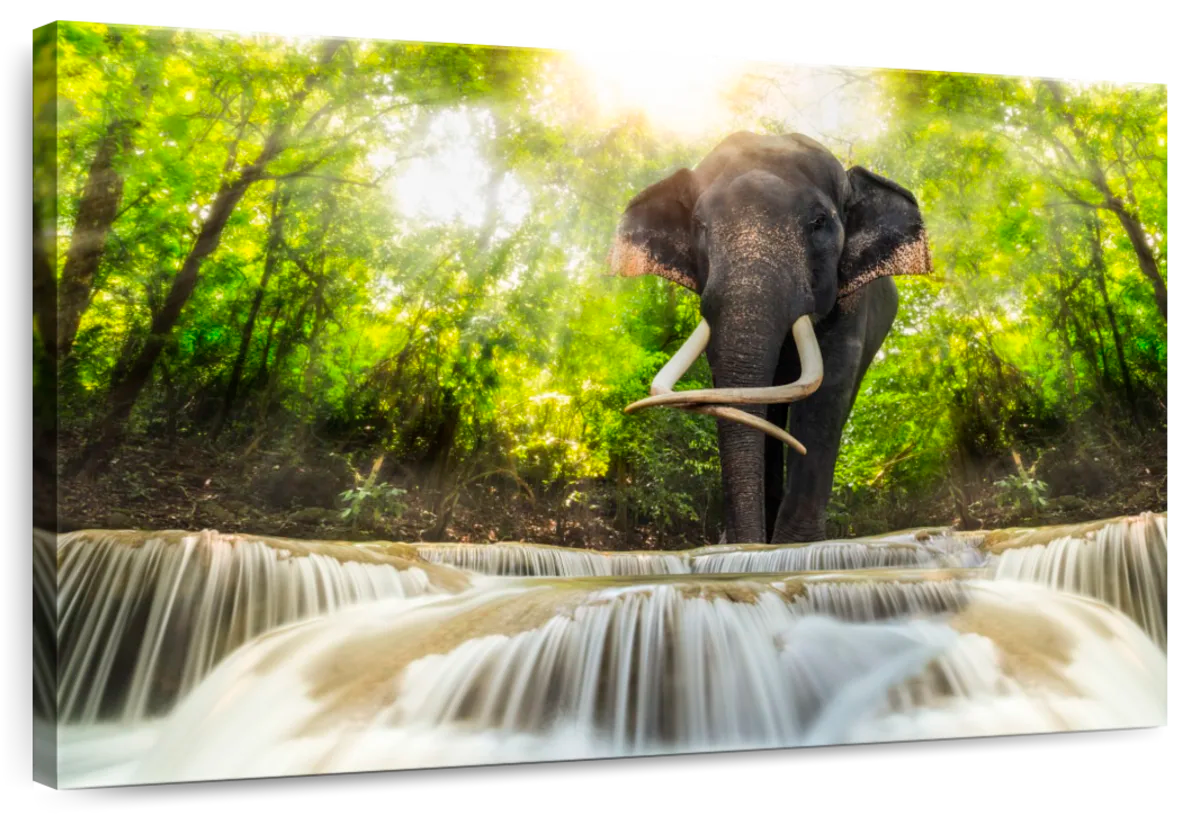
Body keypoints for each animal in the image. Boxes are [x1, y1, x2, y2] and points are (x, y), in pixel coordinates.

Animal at [608, 131, 932, 545]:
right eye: (699, 224)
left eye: (819, 221)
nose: (738, 541)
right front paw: (743, 544)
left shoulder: (851, 301)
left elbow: (828, 392)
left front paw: (795, 546)